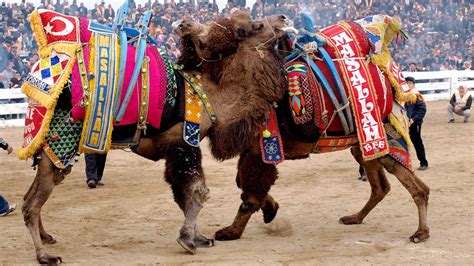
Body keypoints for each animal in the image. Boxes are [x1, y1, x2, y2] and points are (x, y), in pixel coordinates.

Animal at [22, 10, 296, 264]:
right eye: (256, 26)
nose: (284, 18)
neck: (211, 95)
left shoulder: (173, 151)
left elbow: (182, 194)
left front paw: (199, 237)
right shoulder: (184, 144)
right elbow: (198, 191)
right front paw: (187, 240)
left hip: (48, 146)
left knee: (29, 196)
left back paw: (47, 238)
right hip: (61, 141)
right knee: (31, 205)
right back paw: (45, 255)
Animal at [176, 13, 432, 245]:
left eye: (255, 26)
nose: (182, 23)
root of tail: (394, 83)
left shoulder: (262, 150)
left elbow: (249, 194)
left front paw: (231, 232)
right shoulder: (252, 149)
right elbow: (243, 184)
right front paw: (270, 210)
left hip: (386, 138)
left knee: (418, 188)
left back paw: (420, 233)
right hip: (363, 145)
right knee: (381, 187)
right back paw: (355, 218)